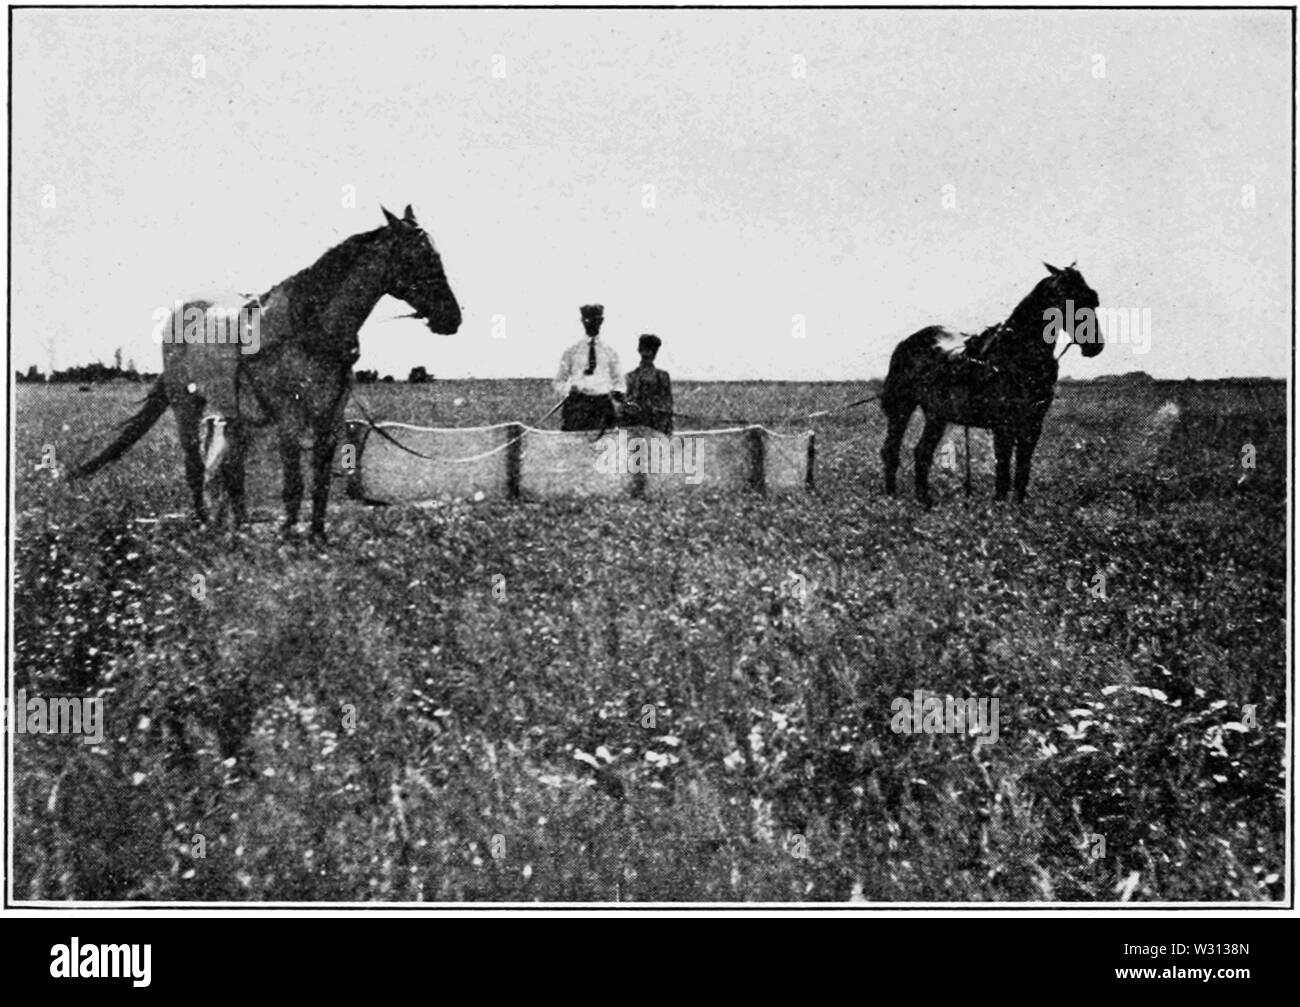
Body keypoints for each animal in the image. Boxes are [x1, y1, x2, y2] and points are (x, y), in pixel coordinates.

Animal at [73, 205, 462, 543]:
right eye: (416, 257)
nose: (452, 318)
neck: (309, 329)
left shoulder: (331, 416)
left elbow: (320, 480)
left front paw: (317, 537)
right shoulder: (289, 417)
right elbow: (294, 483)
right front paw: (289, 534)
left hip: (234, 414)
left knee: (233, 470)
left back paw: (240, 525)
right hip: (186, 404)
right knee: (195, 467)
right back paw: (204, 523)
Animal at [878, 263, 1102, 509]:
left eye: (1092, 299)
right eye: (1067, 300)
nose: (1095, 346)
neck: (1017, 355)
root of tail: (906, 343)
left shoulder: (1033, 424)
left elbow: (1023, 469)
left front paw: (1018, 508)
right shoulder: (1003, 425)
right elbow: (1003, 468)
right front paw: (1000, 509)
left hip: (937, 415)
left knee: (922, 452)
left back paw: (925, 501)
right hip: (902, 408)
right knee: (891, 450)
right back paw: (892, 498)